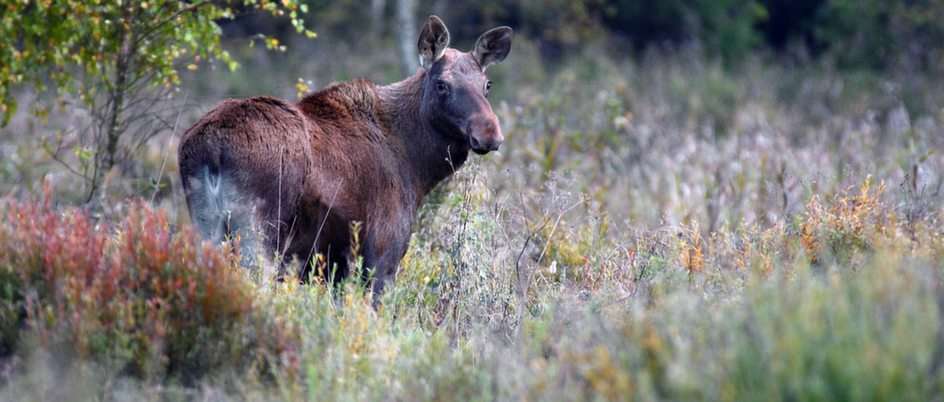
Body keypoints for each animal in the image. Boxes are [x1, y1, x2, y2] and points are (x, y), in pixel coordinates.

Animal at [180, 15, 512, 296]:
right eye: (442, 84)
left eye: (487, 84)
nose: (489, 133)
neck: (417, 167)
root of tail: (212, 148)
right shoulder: (383, 248)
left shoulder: (332, 264)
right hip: (258, 231)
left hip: (206, 225)